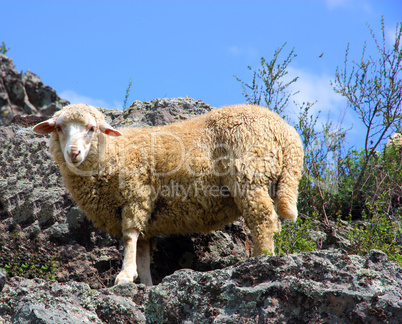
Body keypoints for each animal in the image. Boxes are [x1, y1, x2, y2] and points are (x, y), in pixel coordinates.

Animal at [33, 103, 304, 286]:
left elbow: (130, 237)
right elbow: (143, 250)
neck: (113, 153)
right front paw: (145, 283)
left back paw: (261, 260)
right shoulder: (145, 214)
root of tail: (287, 133)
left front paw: (125, 275)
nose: (73, 153)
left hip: (250, 174)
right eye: (59, 128)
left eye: (91, 128)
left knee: (263, 219)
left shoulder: (137, 195)